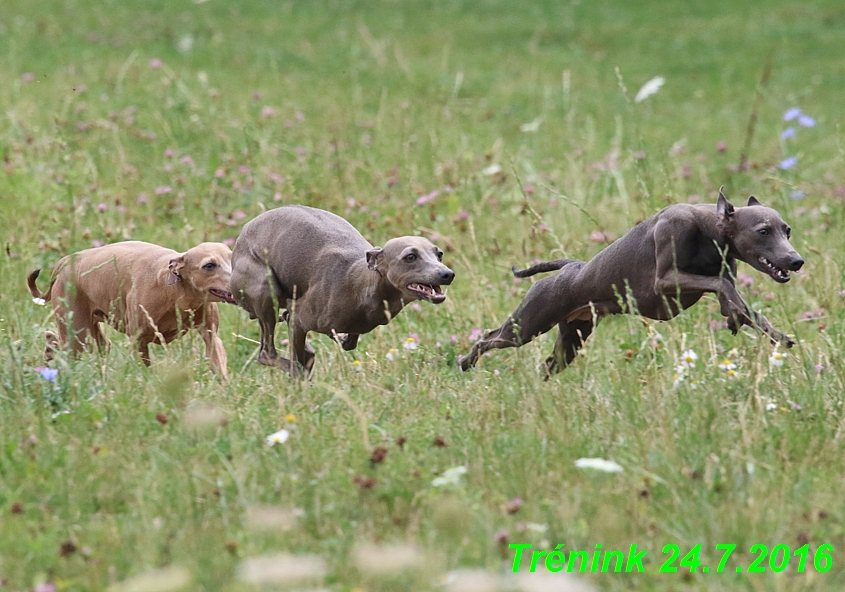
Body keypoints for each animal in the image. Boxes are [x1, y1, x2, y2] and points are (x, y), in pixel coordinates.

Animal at [28, 242, 236, 376]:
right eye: (209, 265)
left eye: (232, 259)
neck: (176, 292)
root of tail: (64, 262)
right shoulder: (138, 340)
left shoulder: (210, 334)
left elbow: (217, 360)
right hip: (78, 334)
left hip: (90, 331)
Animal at [229, 206, 454, 374]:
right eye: (410, 257)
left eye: (439, 254)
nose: (447, 274)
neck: (361, 285)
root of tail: (241, 235)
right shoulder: (299, 320)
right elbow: (298, 358)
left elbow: (347, 343)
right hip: (266, 288)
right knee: (266, 354)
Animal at [458, 190, 800, 374]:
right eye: (763, 231)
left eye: (787, 230)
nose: (797, 261)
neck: (708, 228)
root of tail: (571, 266)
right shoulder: (665, 279)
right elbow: (723, 287)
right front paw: (734, 314)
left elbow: (741, 305)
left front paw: (773, 334)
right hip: (526, 326)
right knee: (487, 338)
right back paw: (464, 362)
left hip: (572, 337)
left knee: (547, 365)